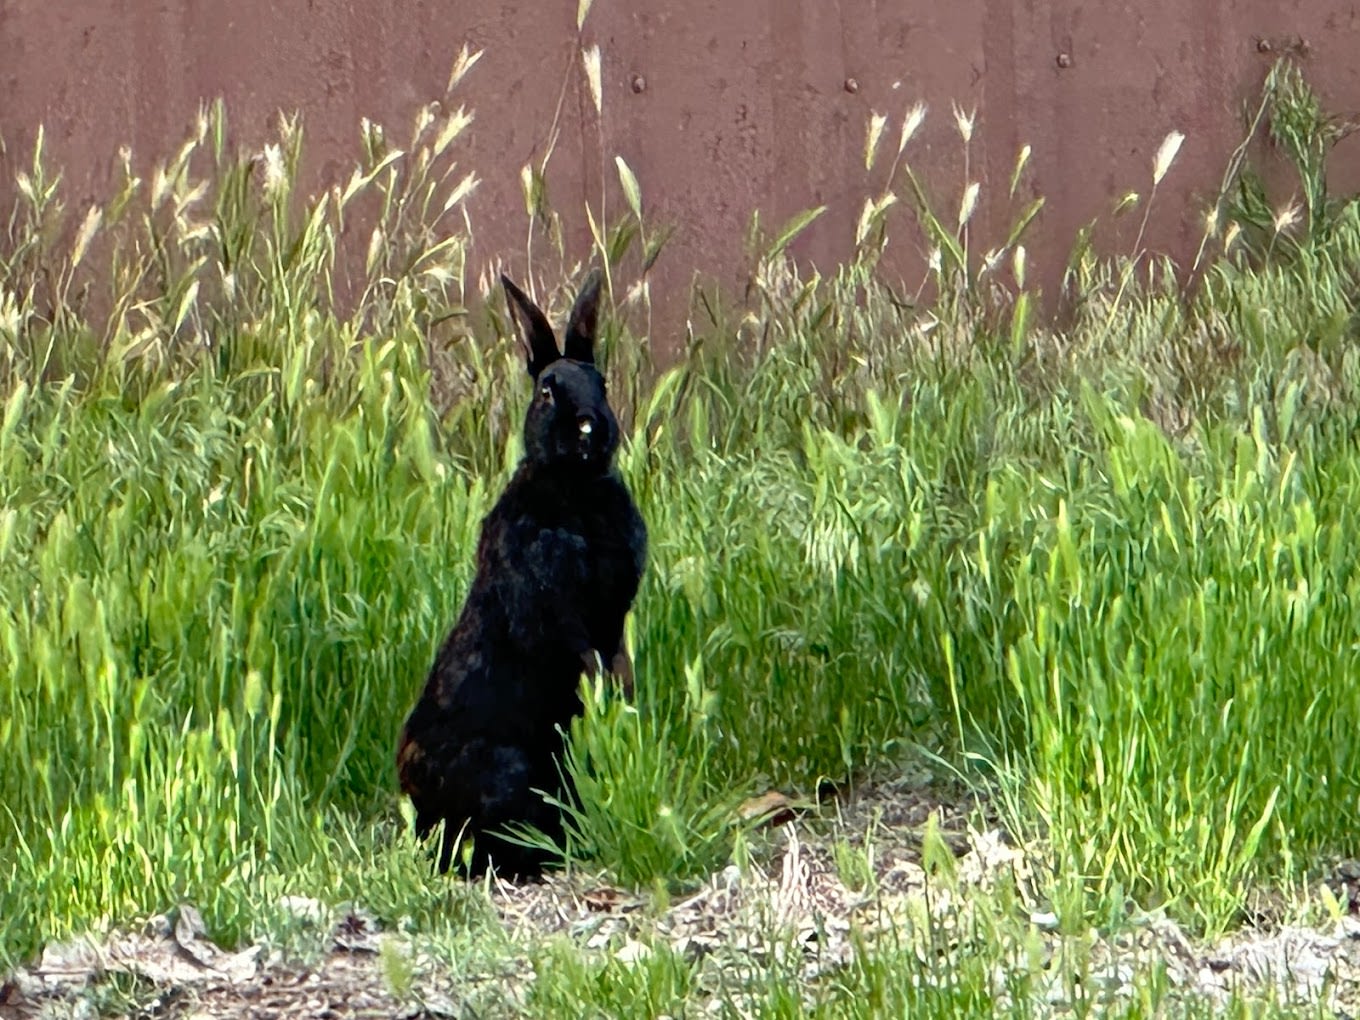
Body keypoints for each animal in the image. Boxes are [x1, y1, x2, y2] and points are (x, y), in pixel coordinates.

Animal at [395, 268, 647, 880]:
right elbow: (576, 649)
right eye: (547, 391)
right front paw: (604, 699)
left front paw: (617, 707)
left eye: (602, 383)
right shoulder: (553, 609)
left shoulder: (612, 618)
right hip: (506, 770)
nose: (589, 428)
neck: (575, 488)